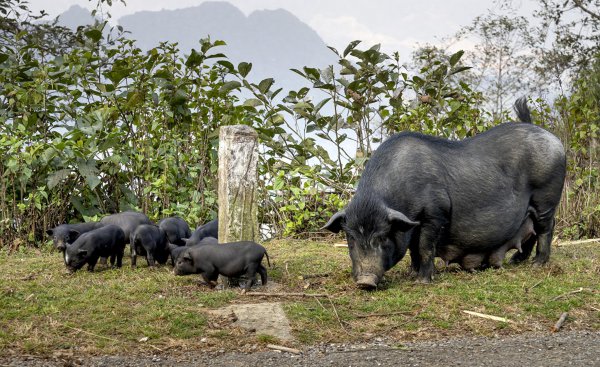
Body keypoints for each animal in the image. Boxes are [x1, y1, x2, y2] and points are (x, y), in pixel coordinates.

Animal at [322, 99, 564, 288]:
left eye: (383, 236)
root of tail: (553, 139)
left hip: (547, 197)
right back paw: (516, 261)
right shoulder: (412, 223)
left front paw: (422, 281)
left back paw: (537, 265)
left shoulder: (435, 212)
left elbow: (424, 247)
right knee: (530, 231)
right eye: (350, 238)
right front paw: (411, 273)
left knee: (545, 229)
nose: (365, 282)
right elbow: (413, 249)